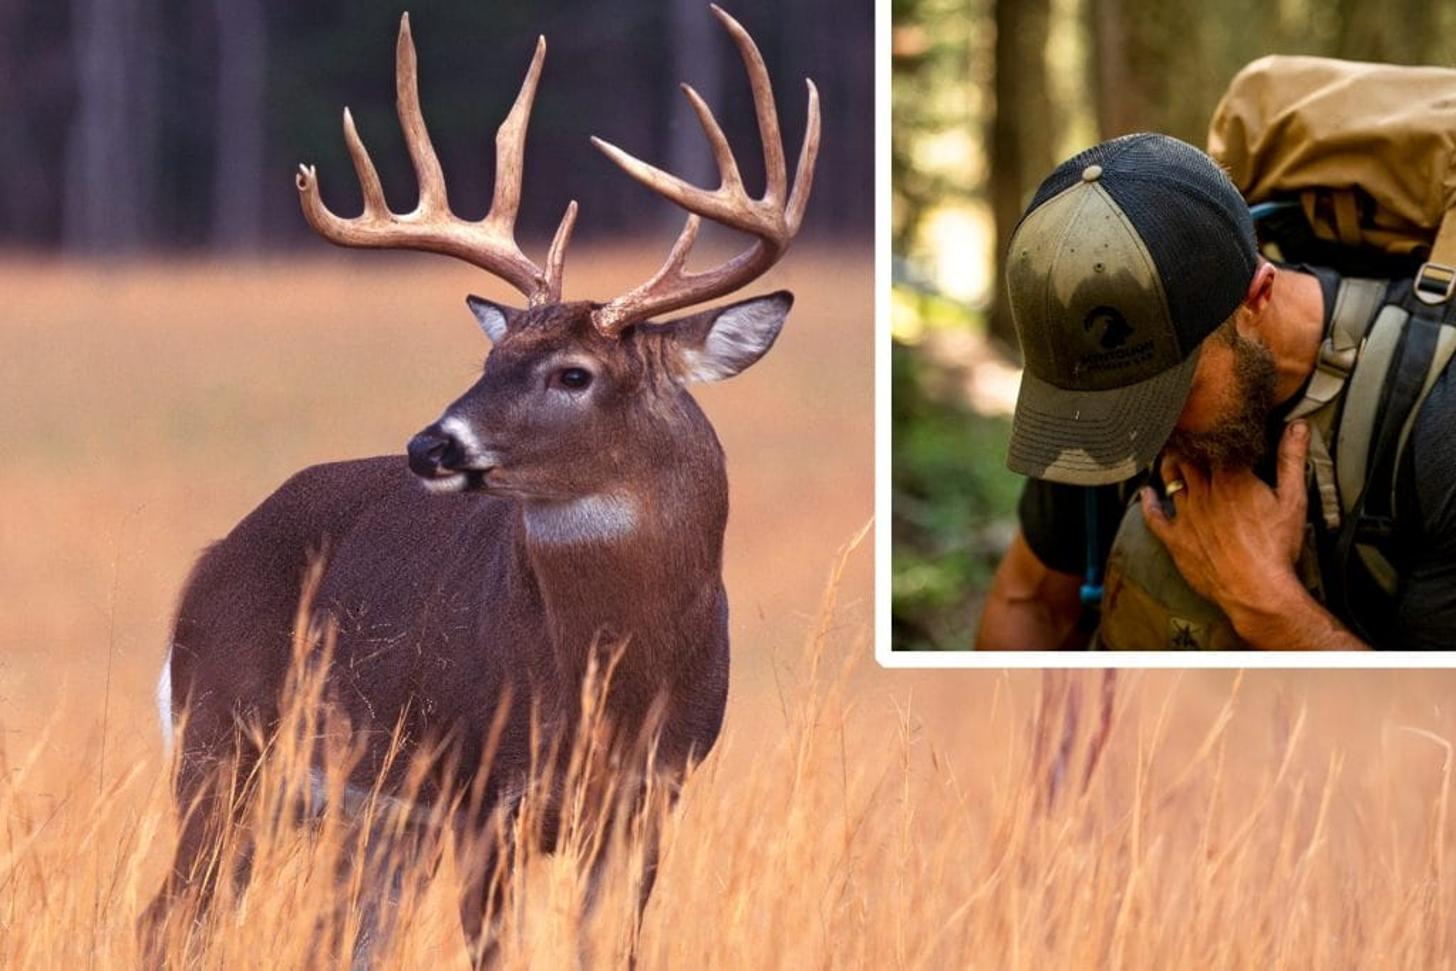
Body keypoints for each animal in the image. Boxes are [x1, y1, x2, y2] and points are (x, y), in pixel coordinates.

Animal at [143, 5, 818, 965]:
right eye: (491, 361)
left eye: (573, 373)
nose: (430, 445)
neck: (611, 677)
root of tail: (210, 559)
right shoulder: (481, 793)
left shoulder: (651, 802)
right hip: (227, 749)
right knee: (172, 916)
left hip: (368, 824)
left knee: (337, 938)